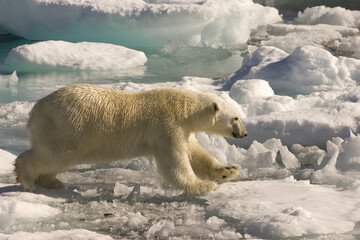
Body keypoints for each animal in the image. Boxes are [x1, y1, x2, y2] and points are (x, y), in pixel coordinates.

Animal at [14, 84, 248, 195]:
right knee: (51, 155)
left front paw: (228, 171)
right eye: (235, 118)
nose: (245, 133)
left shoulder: (182, 129)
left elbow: (195, 152)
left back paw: (52, 181)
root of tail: (36, 110)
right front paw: (204, 186)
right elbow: (175, 160)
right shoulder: (166, 125)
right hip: (68, 127)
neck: (184, 108)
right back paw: (27, 179)